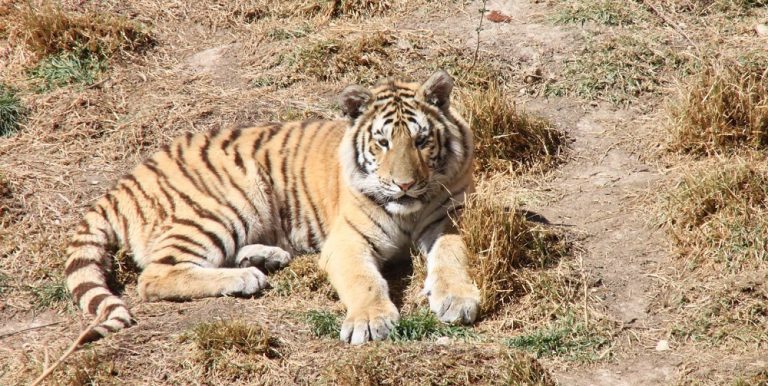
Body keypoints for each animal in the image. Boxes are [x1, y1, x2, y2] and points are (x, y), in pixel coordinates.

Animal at [64, 71, 480, 346]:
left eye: (422, 141)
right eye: (382, 143)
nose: (404, 184)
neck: (409, 209)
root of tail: (126, 181)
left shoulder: (449, 219)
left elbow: (451, 257)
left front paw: (457, 300)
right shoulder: (347, 241)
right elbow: (363, 279)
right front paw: (370, 320)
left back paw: (265, 257)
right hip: (228, 201)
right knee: (154, 276)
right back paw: (247, 277)